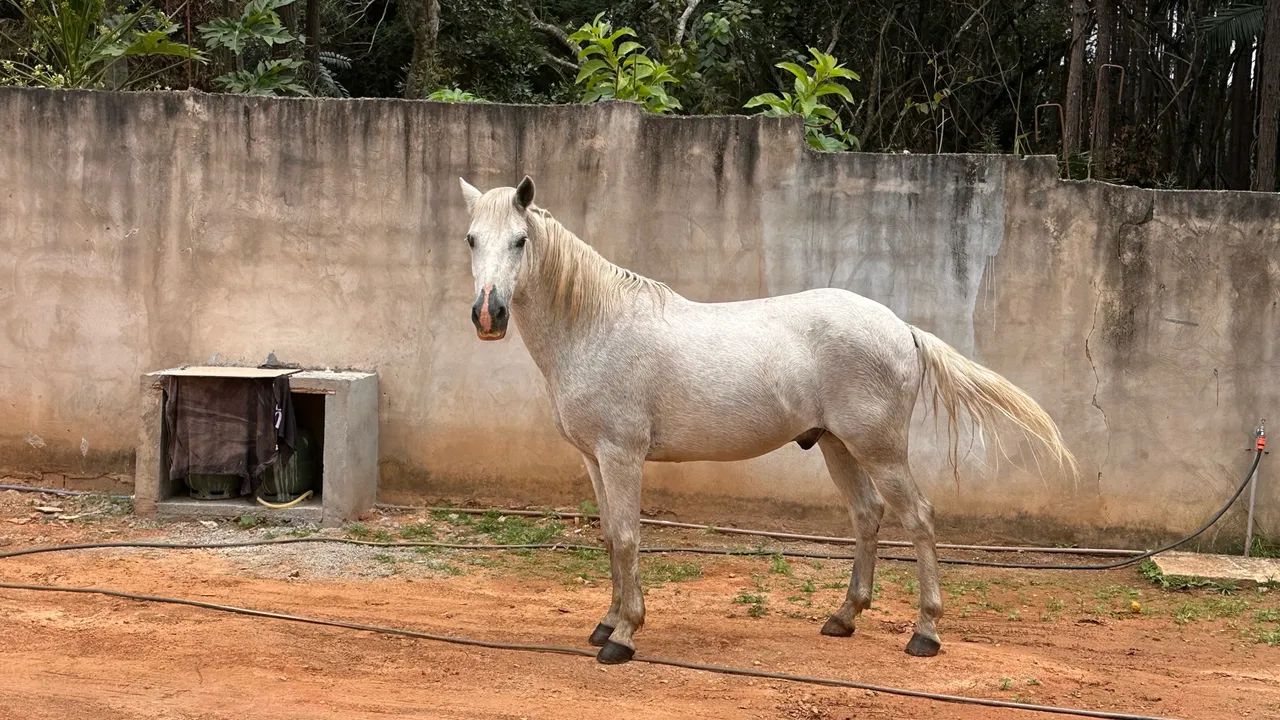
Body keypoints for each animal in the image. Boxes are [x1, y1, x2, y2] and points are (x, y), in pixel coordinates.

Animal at [457, 175, 1075, 664]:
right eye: (471, 239)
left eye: (520, 240)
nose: (489, 314)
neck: (596, 325)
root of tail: (902, 328)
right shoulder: (593, 459)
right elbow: (611, 536)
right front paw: (606, 623)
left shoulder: (621, 455)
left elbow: (630, 538)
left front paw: (624, 636)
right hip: (837, 446)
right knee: (867, 515)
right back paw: (844, 617)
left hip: (879, 450)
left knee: (918, 518)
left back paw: (925, 633)